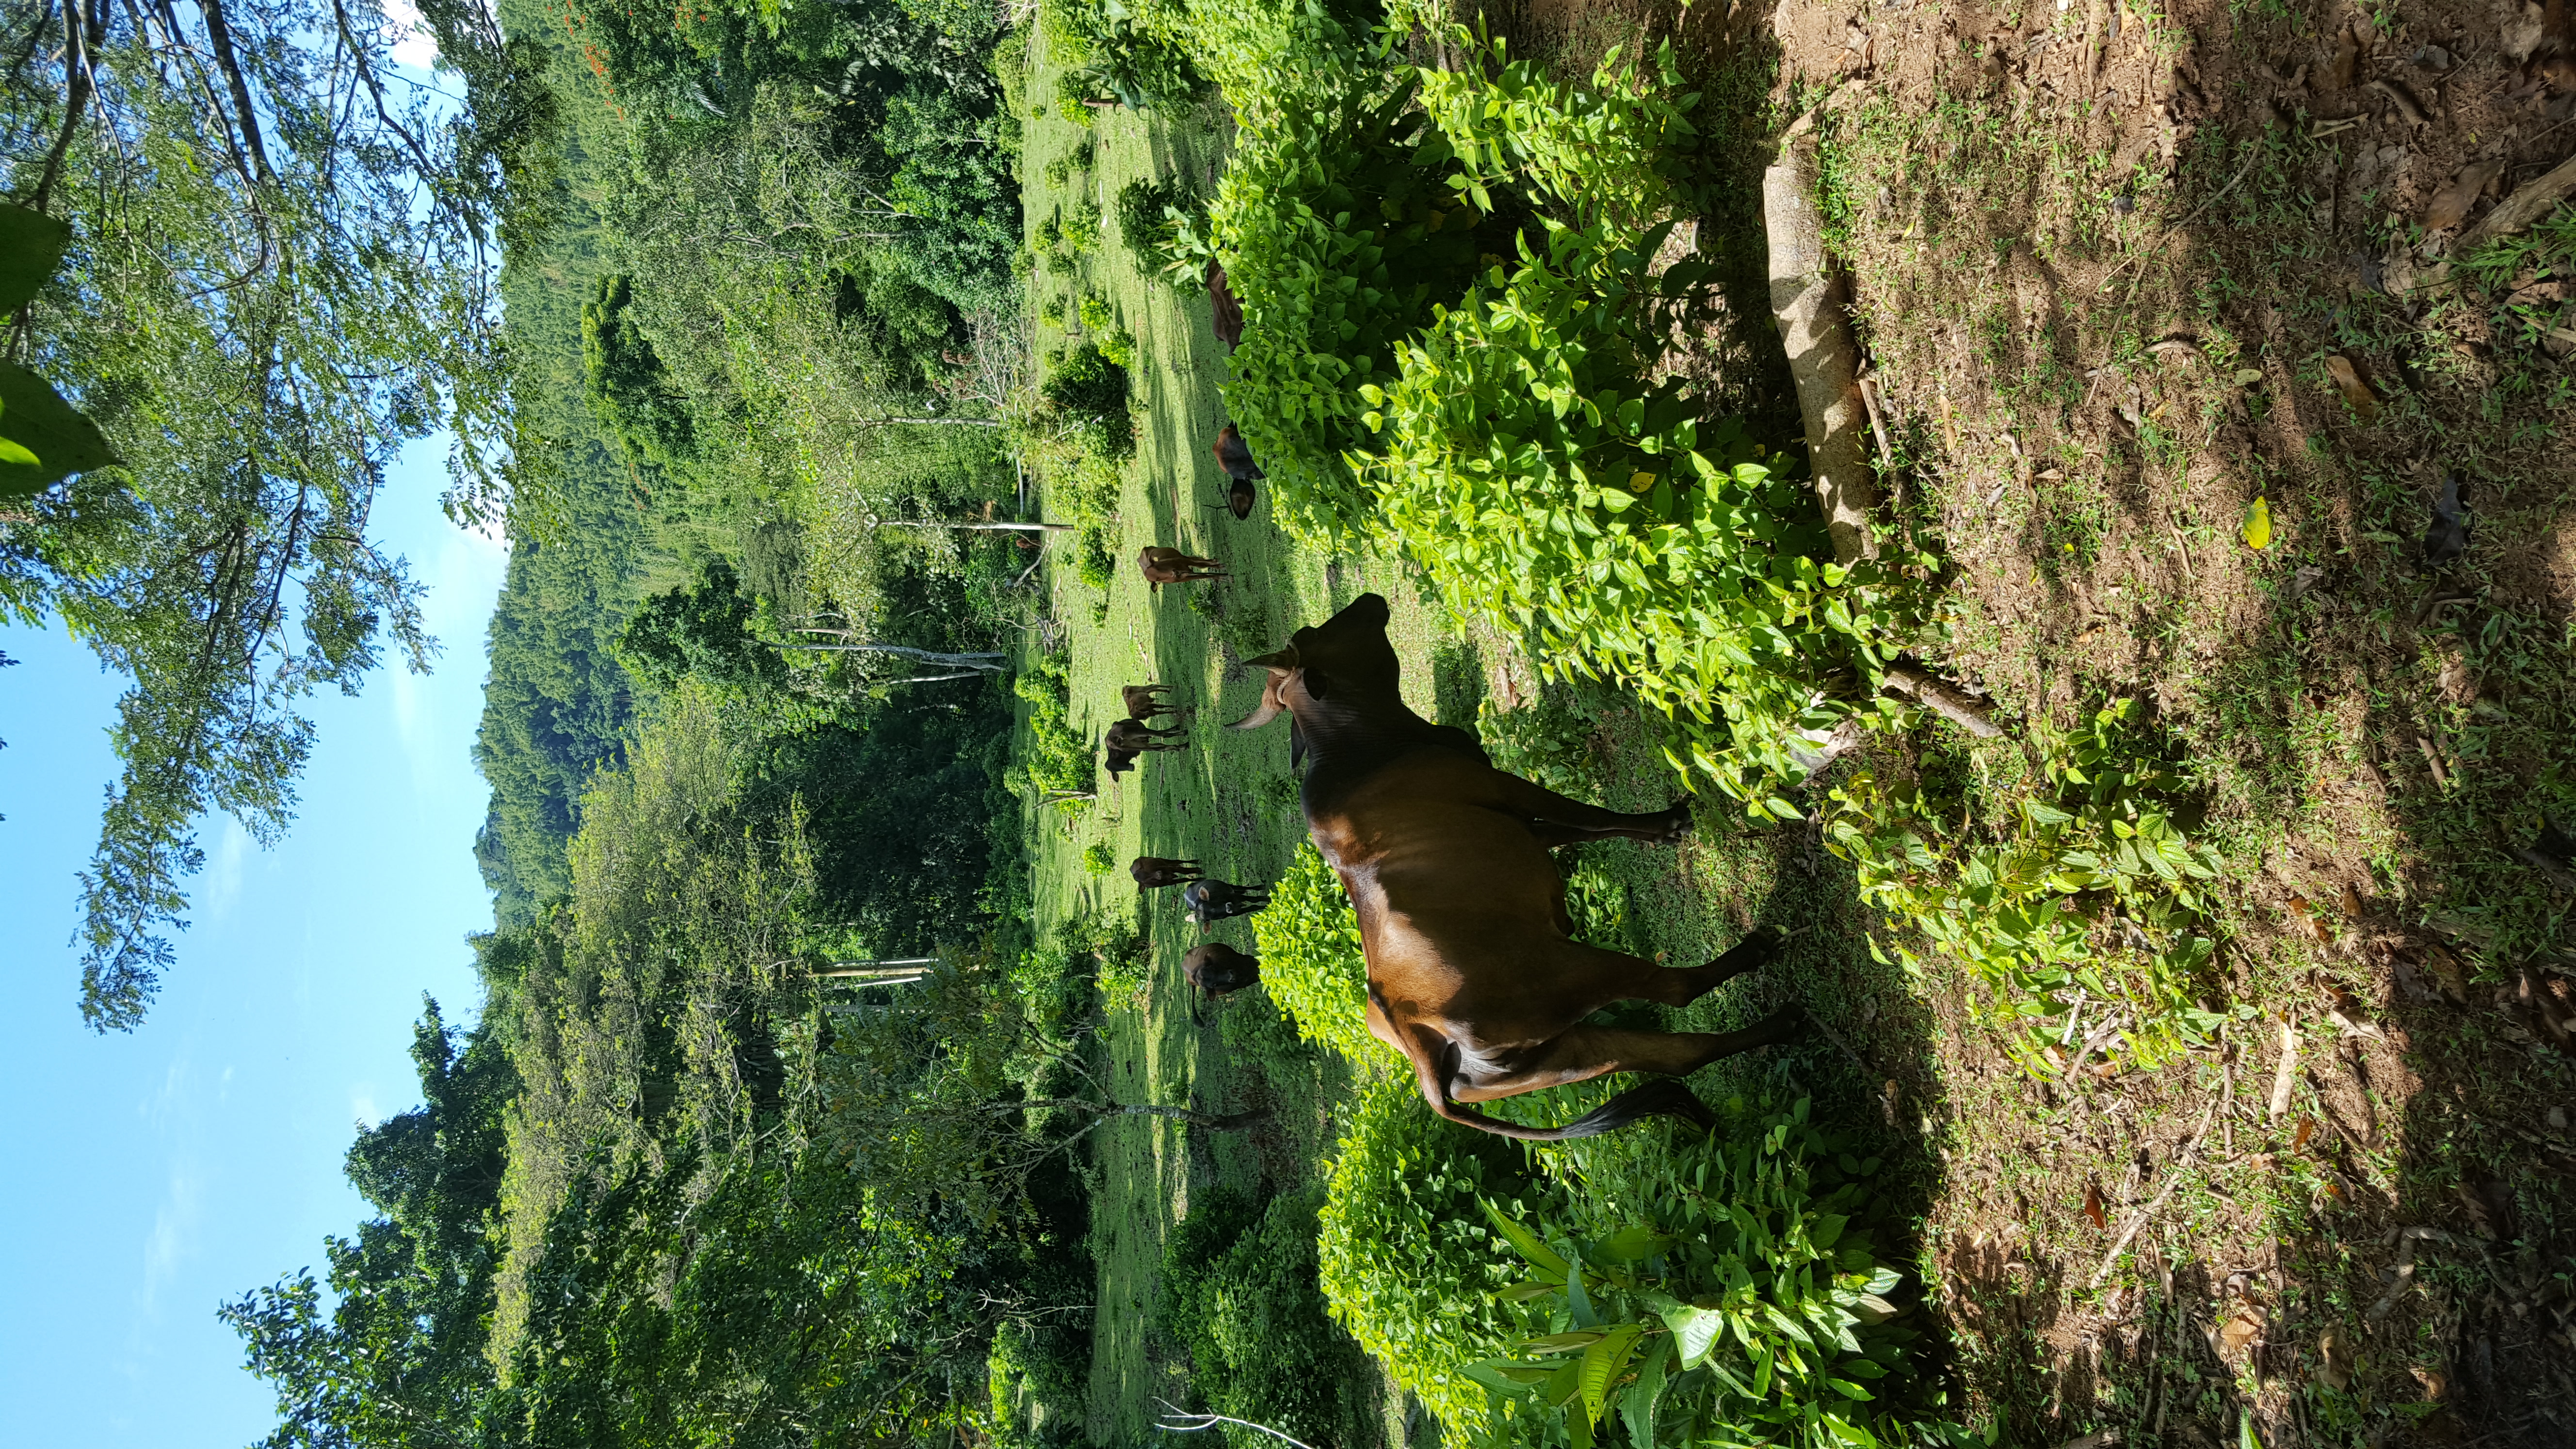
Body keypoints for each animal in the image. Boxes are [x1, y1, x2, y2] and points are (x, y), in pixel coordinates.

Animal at [1106, 718, 1188, 754]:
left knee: (1159, 748)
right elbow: (1161, 734)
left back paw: (1183, 746)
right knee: (1161, 736)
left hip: (1136, 746)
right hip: (1139, 732)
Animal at [1131, 856, 1203, 890]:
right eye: (1145, 881)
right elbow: (1185, 879)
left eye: (1146, 871)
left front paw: (1198, 871)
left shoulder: (1168, 868)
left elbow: (1184, 871)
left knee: (1178, 861)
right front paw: (1199, 879)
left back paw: (1196, 861)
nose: (1159, 875)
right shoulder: (1170, 882)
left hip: (1163, 860)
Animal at [1139, 546, 1225, 586]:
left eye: (1156, 568)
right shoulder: (1185, 578)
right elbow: (1203, 576)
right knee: (1196, 559)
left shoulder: (1184, 561)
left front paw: (1219, 567)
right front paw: (1219, 577)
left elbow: (1201, 565)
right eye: (1157, 579)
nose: (1174, 574)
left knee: (1198, 561)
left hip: (1181, 556)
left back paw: (1214, 562)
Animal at [1181, 878, 1270, 930]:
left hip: (1228, 885)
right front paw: (1266, 907)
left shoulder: (1235, 896)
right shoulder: (1236, 912)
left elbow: (1253, 900)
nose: (1229, 907)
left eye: (1211, 904)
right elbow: (1253, 907)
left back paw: (1260, 887)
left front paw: (1268, 900)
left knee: (1240, 887)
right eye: (1210, 918)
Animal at [1228, 592, 1799, 1140]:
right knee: (1674, 991)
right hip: (1573, 973)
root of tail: (1420, 1051)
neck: (1361, 747)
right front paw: (1668, 823)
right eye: (1312, 631)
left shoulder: (1515, 822)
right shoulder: (1504, 789)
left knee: (1682, 1055)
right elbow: (1585, 815)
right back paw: (1756, 955)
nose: (1368, 601)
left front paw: (1659, 830)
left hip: (1561, 1057)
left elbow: (1577, 829)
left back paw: (1785, 1026)